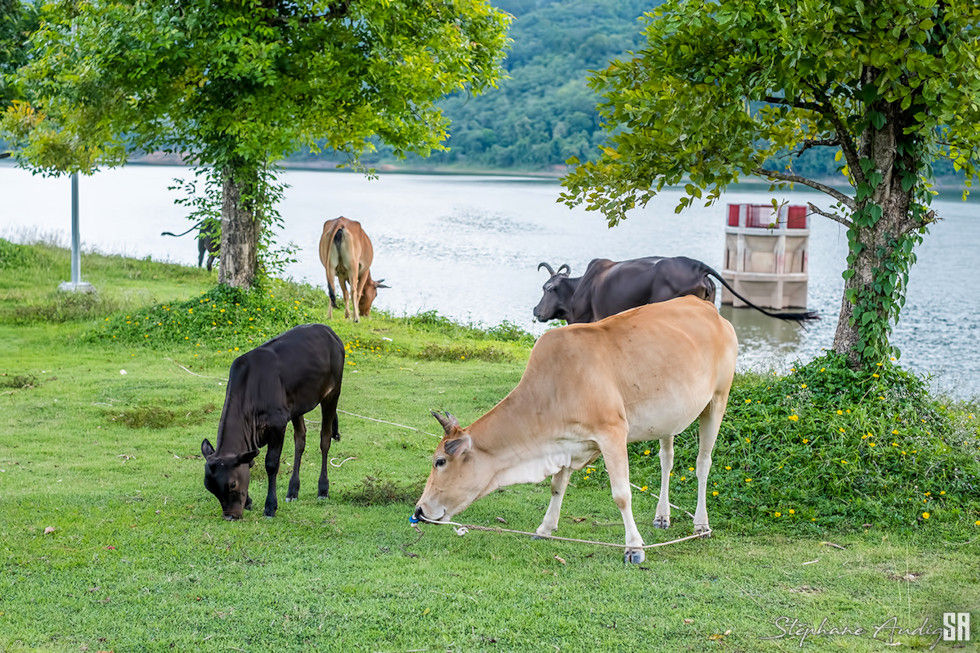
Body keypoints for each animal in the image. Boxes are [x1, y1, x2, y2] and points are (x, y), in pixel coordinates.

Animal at [201, 324, 345, 520]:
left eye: (232, 484)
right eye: (211, 489)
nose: (230, 516)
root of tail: (328, 330)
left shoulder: (277, 425)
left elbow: (271, 464)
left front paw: (270, 507)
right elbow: (250, 463)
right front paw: (249, 502)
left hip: (332, 393)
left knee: (325, 439)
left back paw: (323, 489)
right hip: (296, 407)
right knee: (300, 440)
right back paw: (292, 491)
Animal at [413, 296, 738, 564]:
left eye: (439, 461)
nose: (419, 511)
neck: (554, 386)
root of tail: (708, 308)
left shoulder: (612, 432)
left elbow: (622, 494)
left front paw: (634, 547)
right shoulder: (566, 442)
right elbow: (557, 487)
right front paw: (545, 528)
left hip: (717, 400)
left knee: (703, 464)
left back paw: (701, 524)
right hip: (667, 419)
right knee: (666, 460)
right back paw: (662, 516)